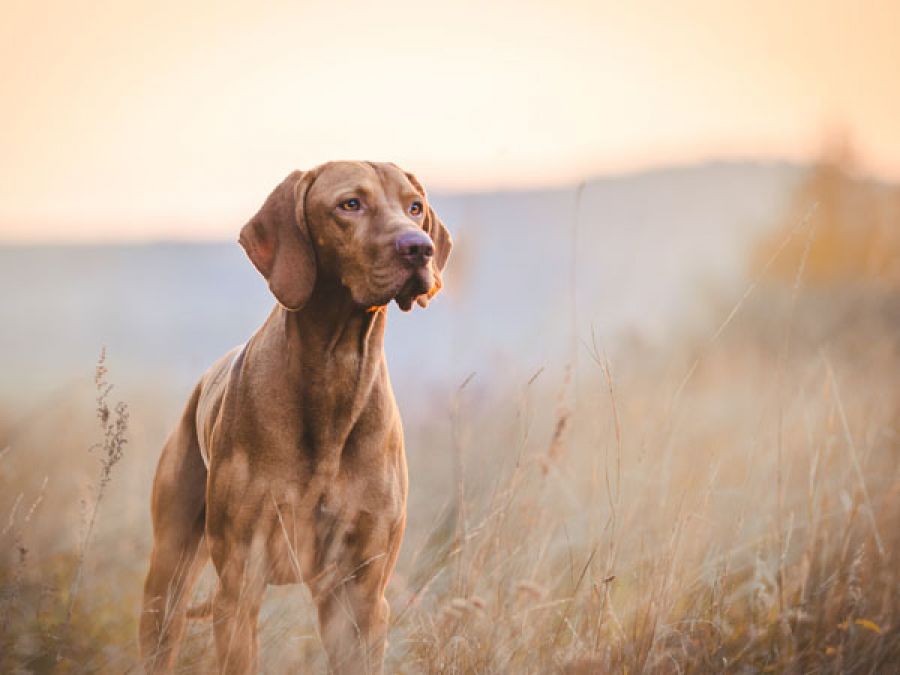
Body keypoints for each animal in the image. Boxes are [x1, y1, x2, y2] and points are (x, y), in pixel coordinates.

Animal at [138, 161, 454, 672]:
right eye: (350, 204)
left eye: (414, 207)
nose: (419, 248)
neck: (335, 370)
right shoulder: (240, 585)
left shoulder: (361, 595)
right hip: (167, 576)